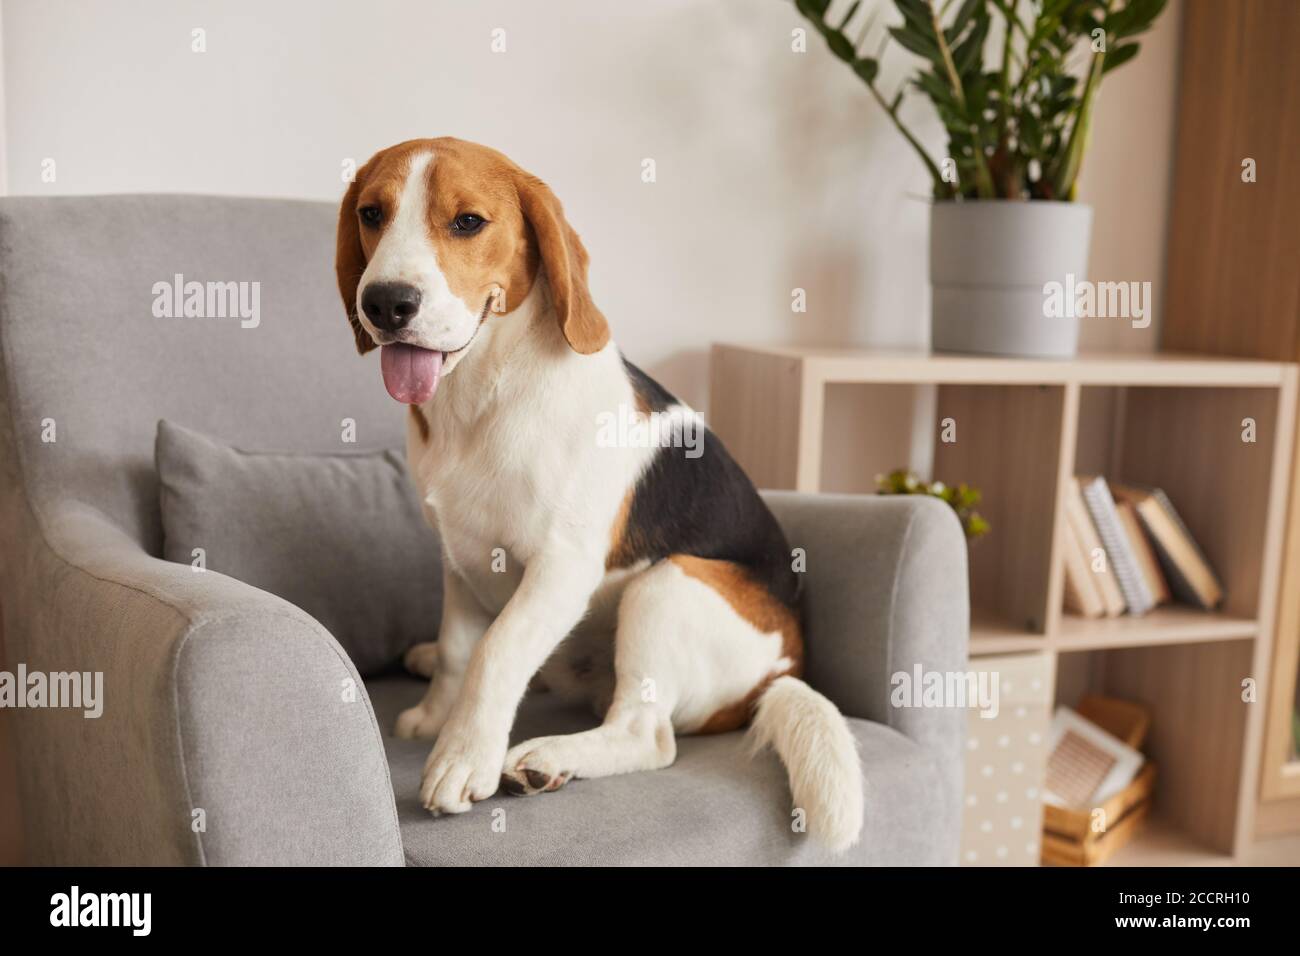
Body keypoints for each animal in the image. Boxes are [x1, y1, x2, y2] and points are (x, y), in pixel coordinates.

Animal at [335, 136, 863, 853]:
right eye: (372, 213)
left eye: (468, 222)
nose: (386, 303)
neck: (483, 394)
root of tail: (782, 672)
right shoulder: (460, 558)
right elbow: (457, 650)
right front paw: (436, 715)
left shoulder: (562, 568)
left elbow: (496, 651)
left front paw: (462, 758)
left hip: (666, 586)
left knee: (648, 737)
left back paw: (548, 758)